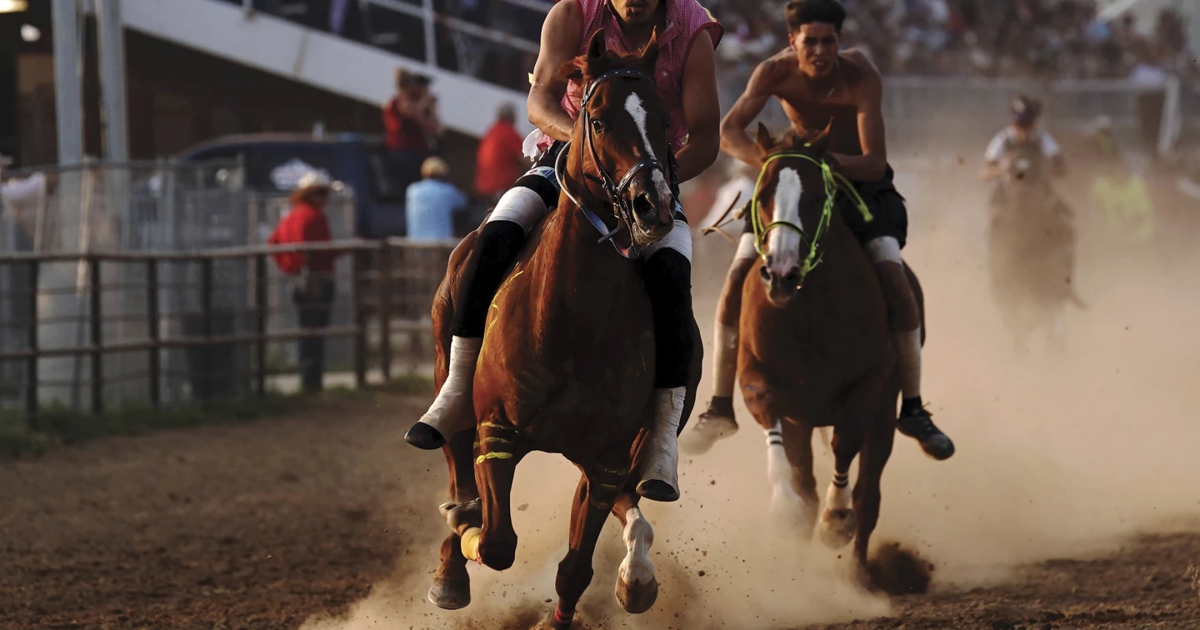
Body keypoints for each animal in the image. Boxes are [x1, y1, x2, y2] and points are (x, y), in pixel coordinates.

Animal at [422, 30, 700, 628]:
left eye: (664, 119)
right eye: (597, 119)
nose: (653, 206)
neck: (573, 316)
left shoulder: (607, 459)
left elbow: (575, 564)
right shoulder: (498, 432)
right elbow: (496, 541)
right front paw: (466, 526)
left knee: (631, 505)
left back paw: (637, 575)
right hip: (448, 375)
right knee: (455, 458)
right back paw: (451, 565)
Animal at [734, 121, 921, 585]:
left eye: (818, 196)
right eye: (762, 195)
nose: (781, 273)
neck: (807, 311)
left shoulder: (869, 388)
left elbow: (846, 443)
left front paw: (837, 521)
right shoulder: (759, 378)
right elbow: (772, 425)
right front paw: (786, 509)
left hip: (886, 416)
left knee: (869, 492)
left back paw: (859, 577)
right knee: (808, 479)